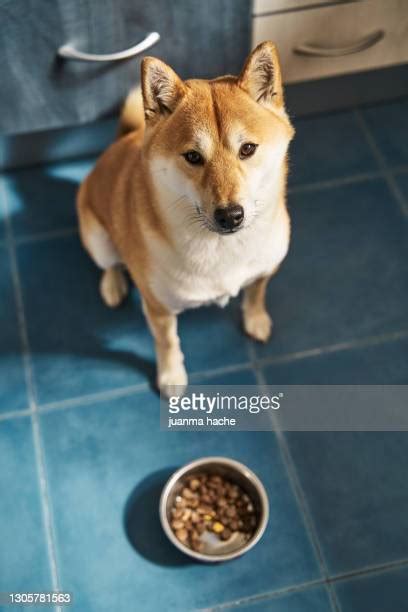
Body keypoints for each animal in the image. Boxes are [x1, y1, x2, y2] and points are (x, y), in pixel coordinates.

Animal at [76, 41, 294, 396]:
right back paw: (113, 285)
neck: (223, 250)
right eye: (193, 156)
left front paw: (256, 319)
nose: (230, 215)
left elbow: (256, 292)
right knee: (109, 264)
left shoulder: (266, 267)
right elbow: (167, 343)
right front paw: (171, 376)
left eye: (248, 149)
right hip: (98, 238)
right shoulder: (159, 307)